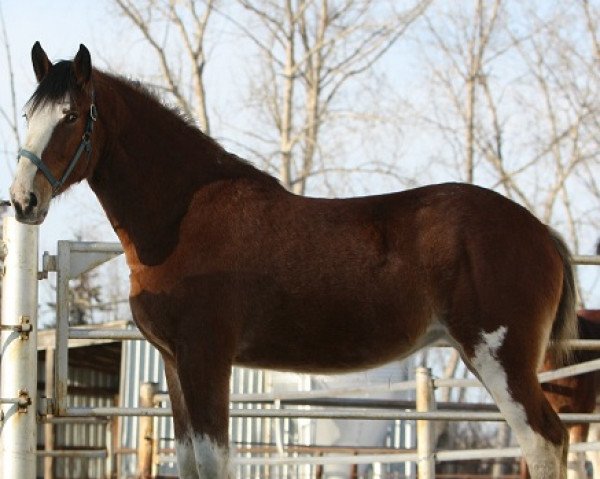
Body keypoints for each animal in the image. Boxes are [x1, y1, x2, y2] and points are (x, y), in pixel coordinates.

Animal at [11, 42, 580, 479]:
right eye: (27, 114)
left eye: (69, 116)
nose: (23, 201)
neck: (181, 219)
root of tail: (540, 232)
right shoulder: (174, 363)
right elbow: (190, 462)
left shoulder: (206, 358)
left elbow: (215, 464)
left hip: (499, 358)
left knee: (544, 441)